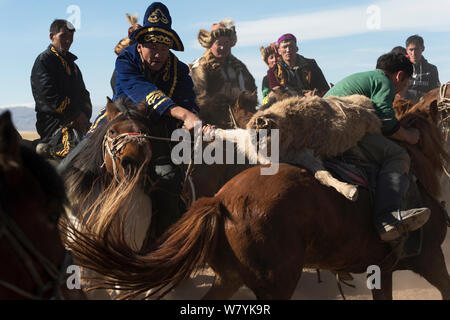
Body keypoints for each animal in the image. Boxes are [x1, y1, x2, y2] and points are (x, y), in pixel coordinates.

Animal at [62, 89, 450, 298]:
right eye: (113, 131)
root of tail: (220, 202)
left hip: (234, 278)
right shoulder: (420, 260)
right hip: (275, 283)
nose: (131, 161)